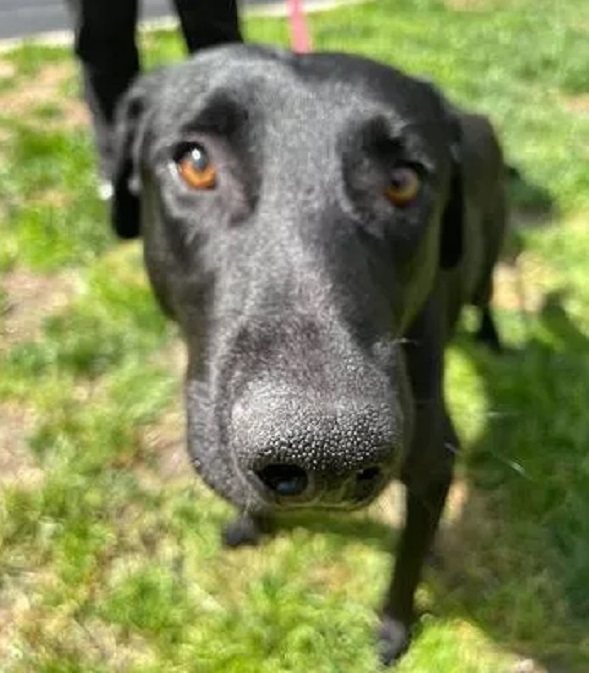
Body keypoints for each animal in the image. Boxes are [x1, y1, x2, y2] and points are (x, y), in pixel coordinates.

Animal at [110, 44, 506, 664]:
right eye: (196, 162)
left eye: (403, 181)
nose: (328, 454)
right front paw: (252, 523)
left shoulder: (435, 463)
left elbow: (407, 564)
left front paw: (393, 631)